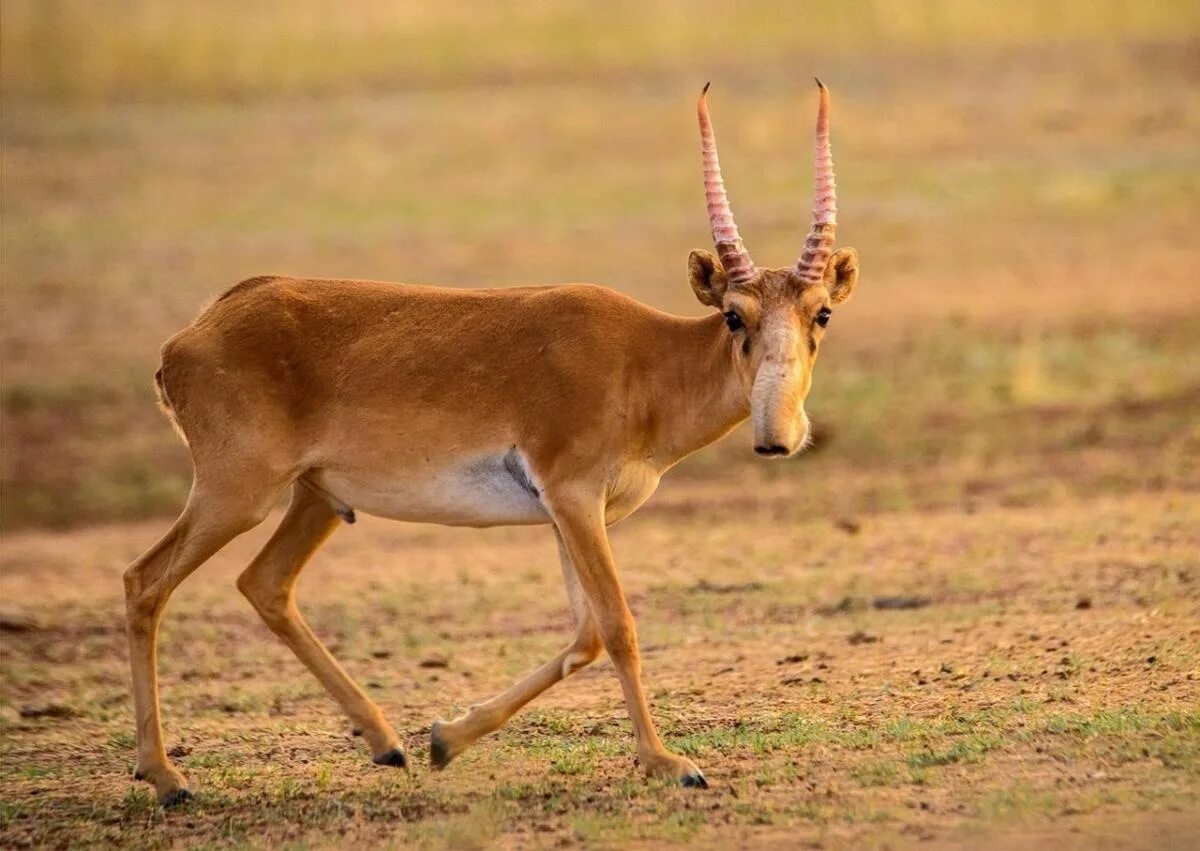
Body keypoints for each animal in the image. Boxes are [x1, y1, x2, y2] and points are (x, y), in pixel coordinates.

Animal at [121, 79, 859, 801]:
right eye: (734, 315)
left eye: (821, 312)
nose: (777, 437)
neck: (645, 359)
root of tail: (191, 334)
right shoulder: (574, 498)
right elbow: (618, 626)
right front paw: (669, 762)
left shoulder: (571, 515)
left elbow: (586, 635)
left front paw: (446, 738)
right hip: (237, 494)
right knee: (145, 581)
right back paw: (167, 777)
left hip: (316, 499)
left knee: (264, 583)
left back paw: (388, 743)